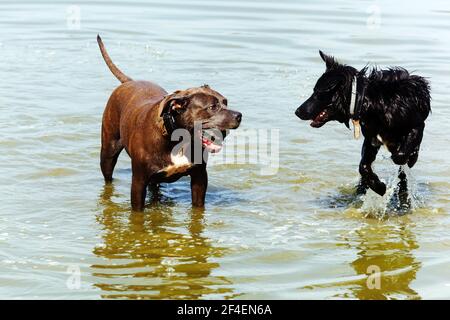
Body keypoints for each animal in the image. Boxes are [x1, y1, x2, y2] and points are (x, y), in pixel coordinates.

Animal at [96, 35, 241, 211]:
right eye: (212, 107)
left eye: (226, 102)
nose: (239, 115)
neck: (178, 138)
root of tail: (128, 82)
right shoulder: (139, 182)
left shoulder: (200, 178)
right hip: (108, 152)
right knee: (108, 175)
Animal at [298, 50, 430, 198]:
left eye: (317, 92)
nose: (297, 111)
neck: (370, 102)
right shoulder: (371, 139)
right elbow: (364, 167)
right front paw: (378, 186)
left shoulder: (417, 125)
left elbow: (400, 156)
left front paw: (410, 158)